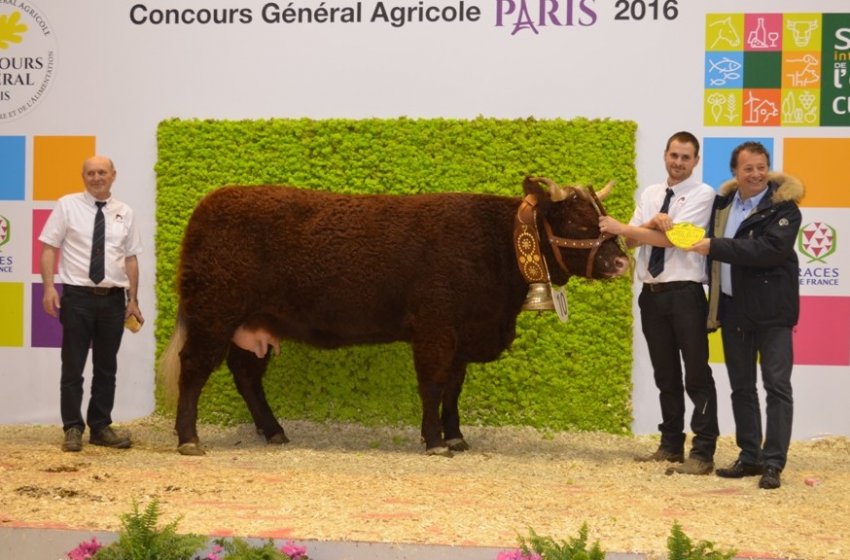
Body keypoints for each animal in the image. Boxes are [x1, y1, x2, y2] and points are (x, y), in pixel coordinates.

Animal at [159, 176, 629, 456]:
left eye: (602, 216)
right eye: (577, 221)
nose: (621, 262)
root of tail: (211, 202)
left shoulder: (462, 334)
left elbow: (453, 389)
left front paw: (456, 436)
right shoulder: (435, 327)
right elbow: (433, 384)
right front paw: (435, 441)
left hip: (253, 323)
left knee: (246, 375)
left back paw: (273, 431)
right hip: (213, 314)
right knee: (194, 370)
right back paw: (189, 439)